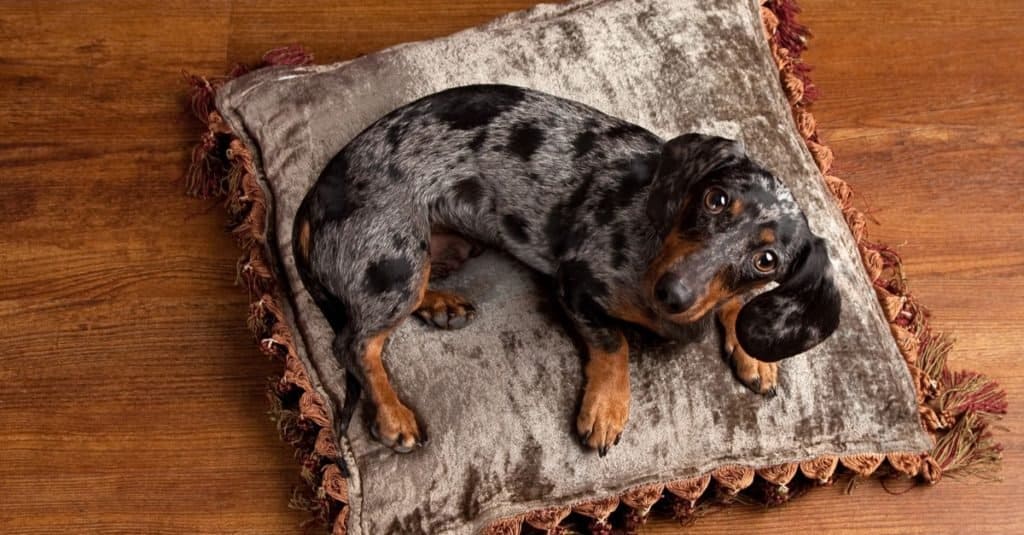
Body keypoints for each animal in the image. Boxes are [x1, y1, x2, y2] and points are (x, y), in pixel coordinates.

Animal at [290, 83, 839, 453]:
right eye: (715, 198)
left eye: (765, 260)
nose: (672, 293)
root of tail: (318, 191)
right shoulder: (574, 284)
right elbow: (613, 343)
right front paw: (607, 409)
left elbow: (739, 303)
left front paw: (756, 356)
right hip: (395, 261)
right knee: (355, 343)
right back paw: (394, 416)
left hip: (436, 252)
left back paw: (442, 304)